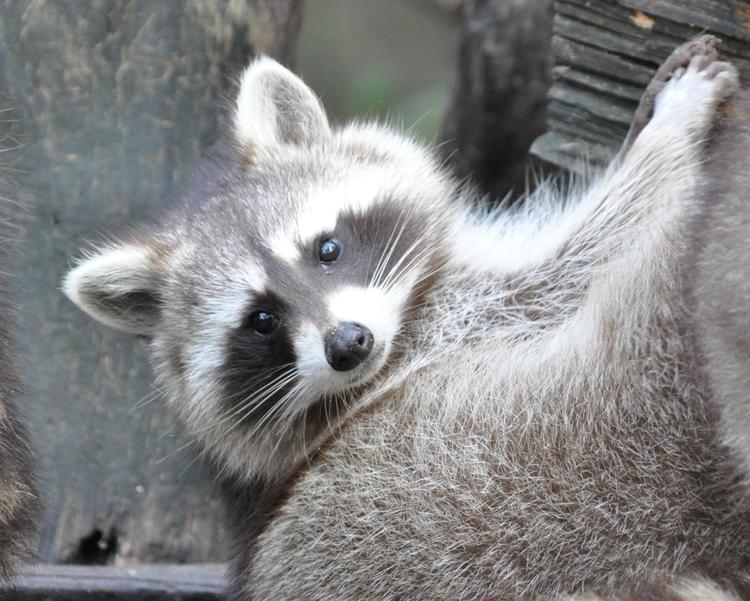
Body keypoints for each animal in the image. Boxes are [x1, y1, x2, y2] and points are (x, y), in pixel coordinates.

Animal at [64, 38, 750, 600]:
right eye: (261, 319)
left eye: (328, 249)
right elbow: (583, 255)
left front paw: (648, 125)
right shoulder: (463, 323)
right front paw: (666, 138)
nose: (348, 345)